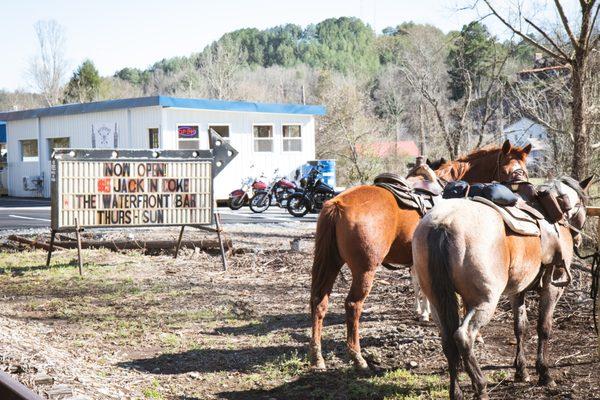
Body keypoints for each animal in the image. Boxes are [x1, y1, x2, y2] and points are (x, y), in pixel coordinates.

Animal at [312, 140, 532, 368]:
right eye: (508, 170)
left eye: (524, 170)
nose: (522, 197)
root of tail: (337, 205)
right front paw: (475, 335)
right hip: (365, 270)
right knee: (353, 305)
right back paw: (357, 356)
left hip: (331, 263)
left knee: (319, 302)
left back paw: (317, 356)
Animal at [412, 177, 592, 400]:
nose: (578, 239)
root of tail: (442, 224)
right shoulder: (553, 286)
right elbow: (544, 327)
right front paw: (544, 373)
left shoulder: (517, 291)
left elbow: (520, 327)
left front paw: (521, 371)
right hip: (485, 302)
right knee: (463, 336)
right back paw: (481, 387)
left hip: (437, 301)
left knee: (448, 341)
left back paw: (457, 392)